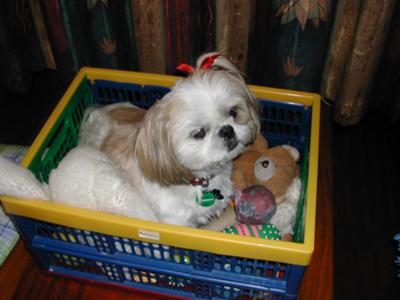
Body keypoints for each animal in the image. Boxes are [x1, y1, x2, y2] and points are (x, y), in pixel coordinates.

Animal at [79, 53, 260, 227]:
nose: (227, 130)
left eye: (234, 111)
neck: (198, 179)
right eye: (199, 133)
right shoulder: (176, 220)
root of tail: (98, 112)